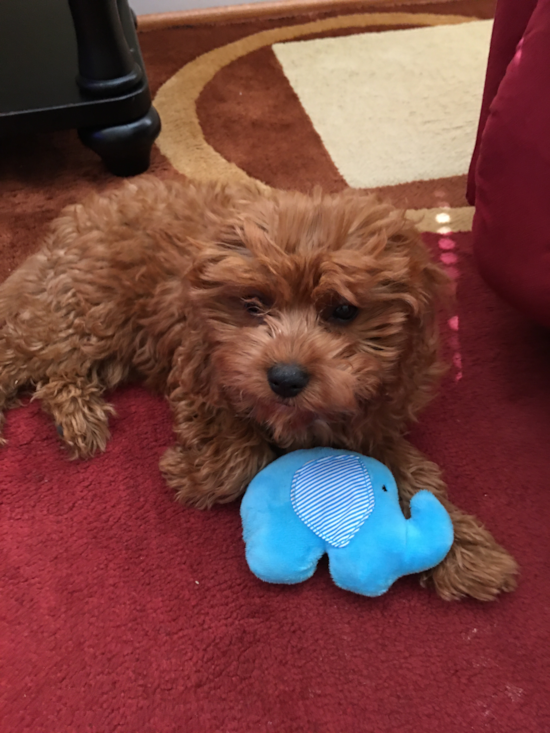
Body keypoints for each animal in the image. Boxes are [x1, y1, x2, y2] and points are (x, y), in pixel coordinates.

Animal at [0, 177, 516, 600]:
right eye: (253, 305)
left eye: (343, 311)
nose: (284, 379)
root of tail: (75, 219)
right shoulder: (202, 372)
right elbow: (238, 458)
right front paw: (190, 474)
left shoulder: (375, 412)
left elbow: (414, 474)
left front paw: (470, 552)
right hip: (90, 314)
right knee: (21, 352)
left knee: (57, 374)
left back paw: (79, 418)